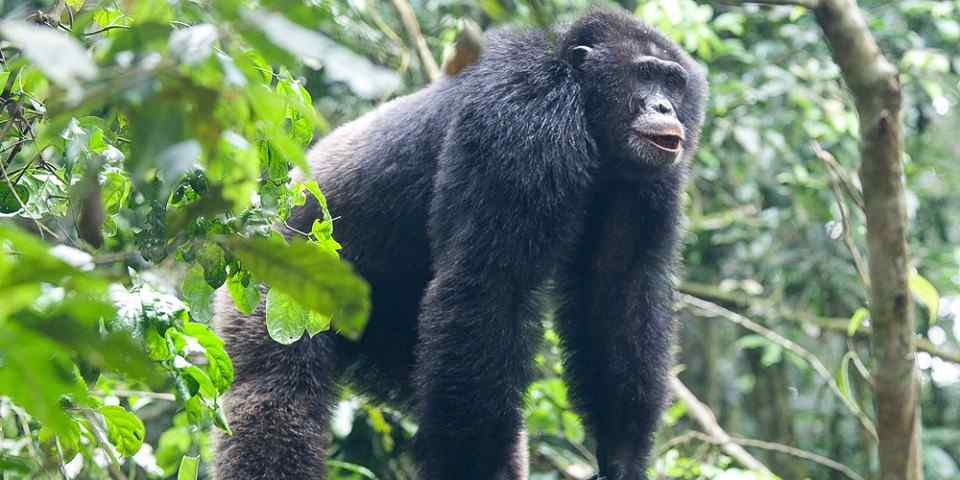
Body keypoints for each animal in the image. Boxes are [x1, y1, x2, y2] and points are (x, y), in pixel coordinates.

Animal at [213, 8, 706, 480]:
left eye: (674, 82)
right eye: (644, 74)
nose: (664, 106)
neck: (584, 106)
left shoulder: (649, 184)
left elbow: (618, 294)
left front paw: (621, 458)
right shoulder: (521, 115)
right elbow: (490, 285)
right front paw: (471, 470)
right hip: (271, 282)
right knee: (276, 396)